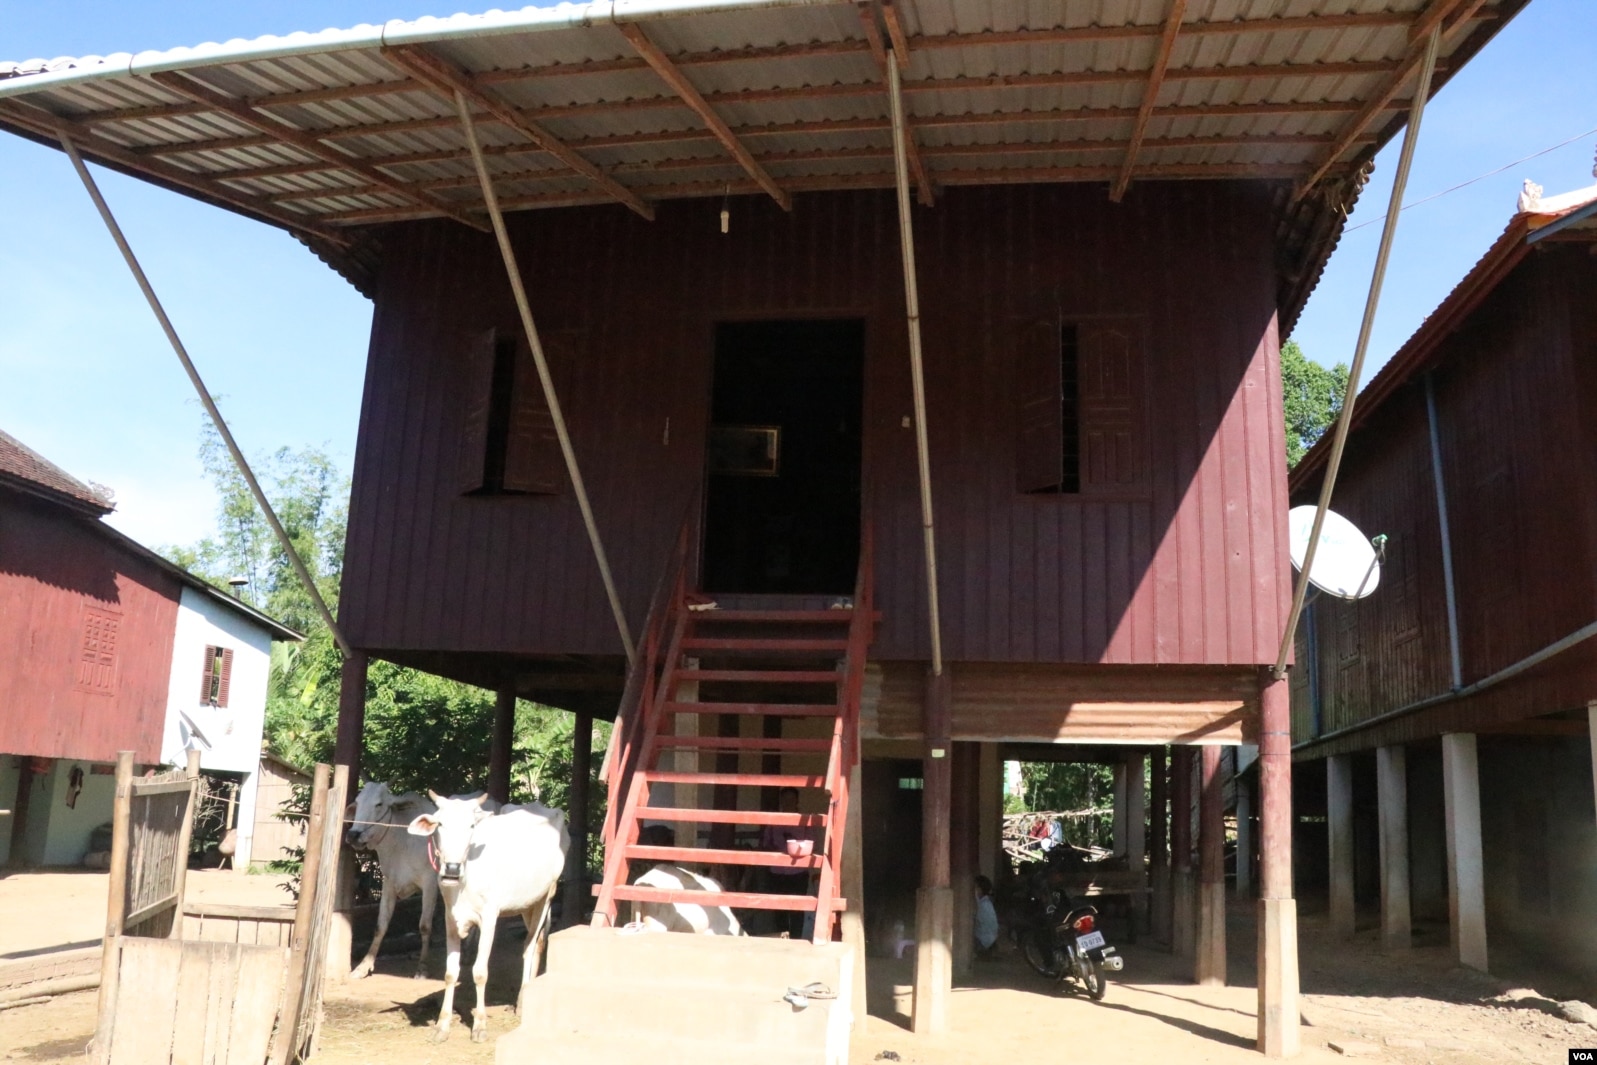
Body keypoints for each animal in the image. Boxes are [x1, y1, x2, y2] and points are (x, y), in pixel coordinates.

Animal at [408, 795, 571, 1047]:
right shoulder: (450, 920)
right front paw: (442, 1026)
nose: (452, 868)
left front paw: (480, 1026)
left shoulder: (489, 919)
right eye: (440, 824)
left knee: (530, 946)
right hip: (528, 904)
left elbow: (480, 972)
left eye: (471, 826)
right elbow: (450, 973)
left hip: (547, 895)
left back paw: (523, 1000)